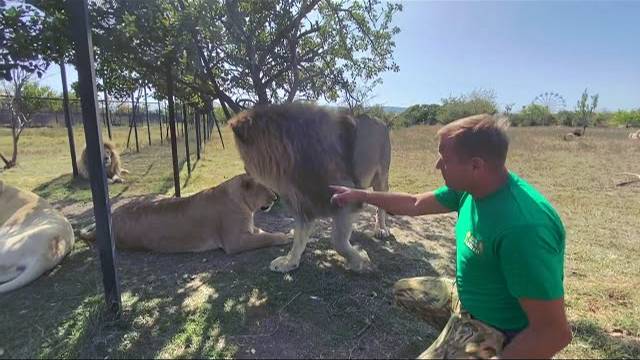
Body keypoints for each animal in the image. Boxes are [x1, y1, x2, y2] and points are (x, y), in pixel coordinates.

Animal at [80, 174, 292, 253]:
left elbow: (263, 233)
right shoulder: (234, 242)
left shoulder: (249, 230)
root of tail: (112, 217)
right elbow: (265, 238)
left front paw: (285, 233)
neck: (245, 205)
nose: (275, 197)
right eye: (265, 186)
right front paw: (284, 237)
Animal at [230, 102, 390, 272]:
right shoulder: (303, 203)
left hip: (381, 178)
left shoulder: (346, 197)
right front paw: (289, 262)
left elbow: (338, 241)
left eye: (243, 155)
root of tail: (380, 120)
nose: (245, 169)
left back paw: (381, 229)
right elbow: (298, 238)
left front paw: (360, 261)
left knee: (382, 204)